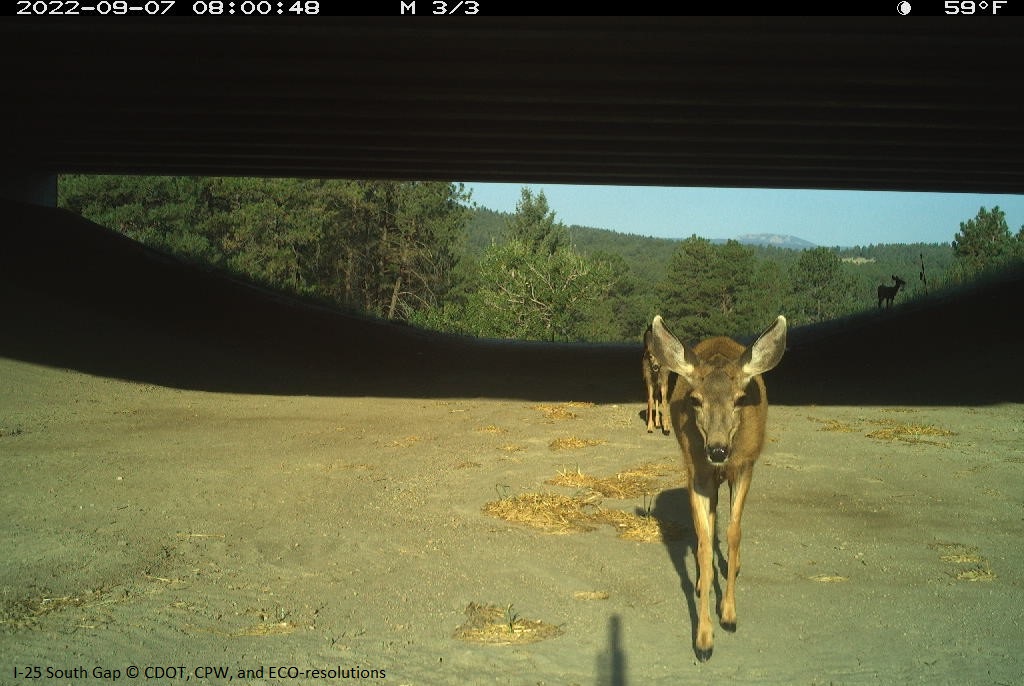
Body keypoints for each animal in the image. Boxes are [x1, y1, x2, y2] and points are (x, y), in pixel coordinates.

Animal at [647, 315, 790, 663]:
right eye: (695, 400)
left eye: (739, 398)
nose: (717, 450)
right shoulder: (697, 473)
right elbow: (702, 540)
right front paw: (703, 639)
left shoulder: (745, 466)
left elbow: (734, 533)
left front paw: (729, 615)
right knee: (709, 527)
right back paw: (703, 580)